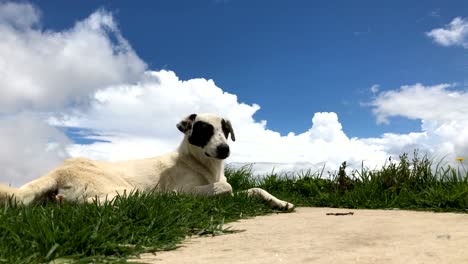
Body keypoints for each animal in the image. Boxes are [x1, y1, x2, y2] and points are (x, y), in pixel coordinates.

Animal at [0, 113, 292, 210]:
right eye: (204, 130)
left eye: (225, 130)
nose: (224, 149)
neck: (202, 165)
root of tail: (59, 170)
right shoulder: (183, 191)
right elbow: (226, 187)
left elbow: (255, 189)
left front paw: (281, 202)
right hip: (125, 190)